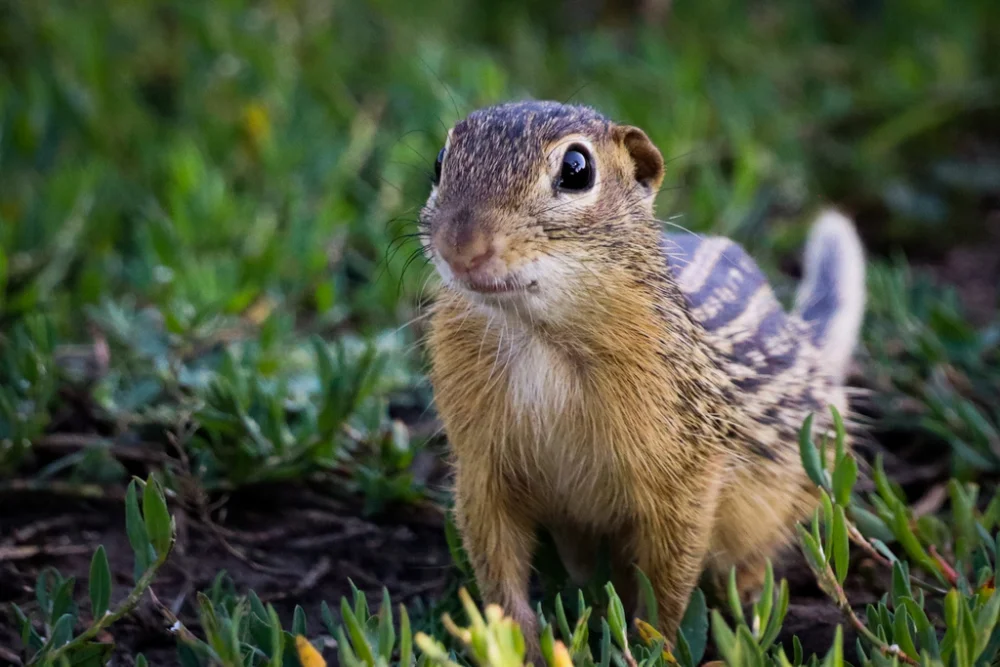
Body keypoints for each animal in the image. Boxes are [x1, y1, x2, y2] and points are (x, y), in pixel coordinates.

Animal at [419, 100, 866, 658]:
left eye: (577, 169)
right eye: (440, 162)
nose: (460, 246)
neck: (537, 339)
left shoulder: (686, 473)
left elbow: (667, 582)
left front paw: (655, 647)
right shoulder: (481, 465)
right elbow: (497, 570)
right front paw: (521, 646)